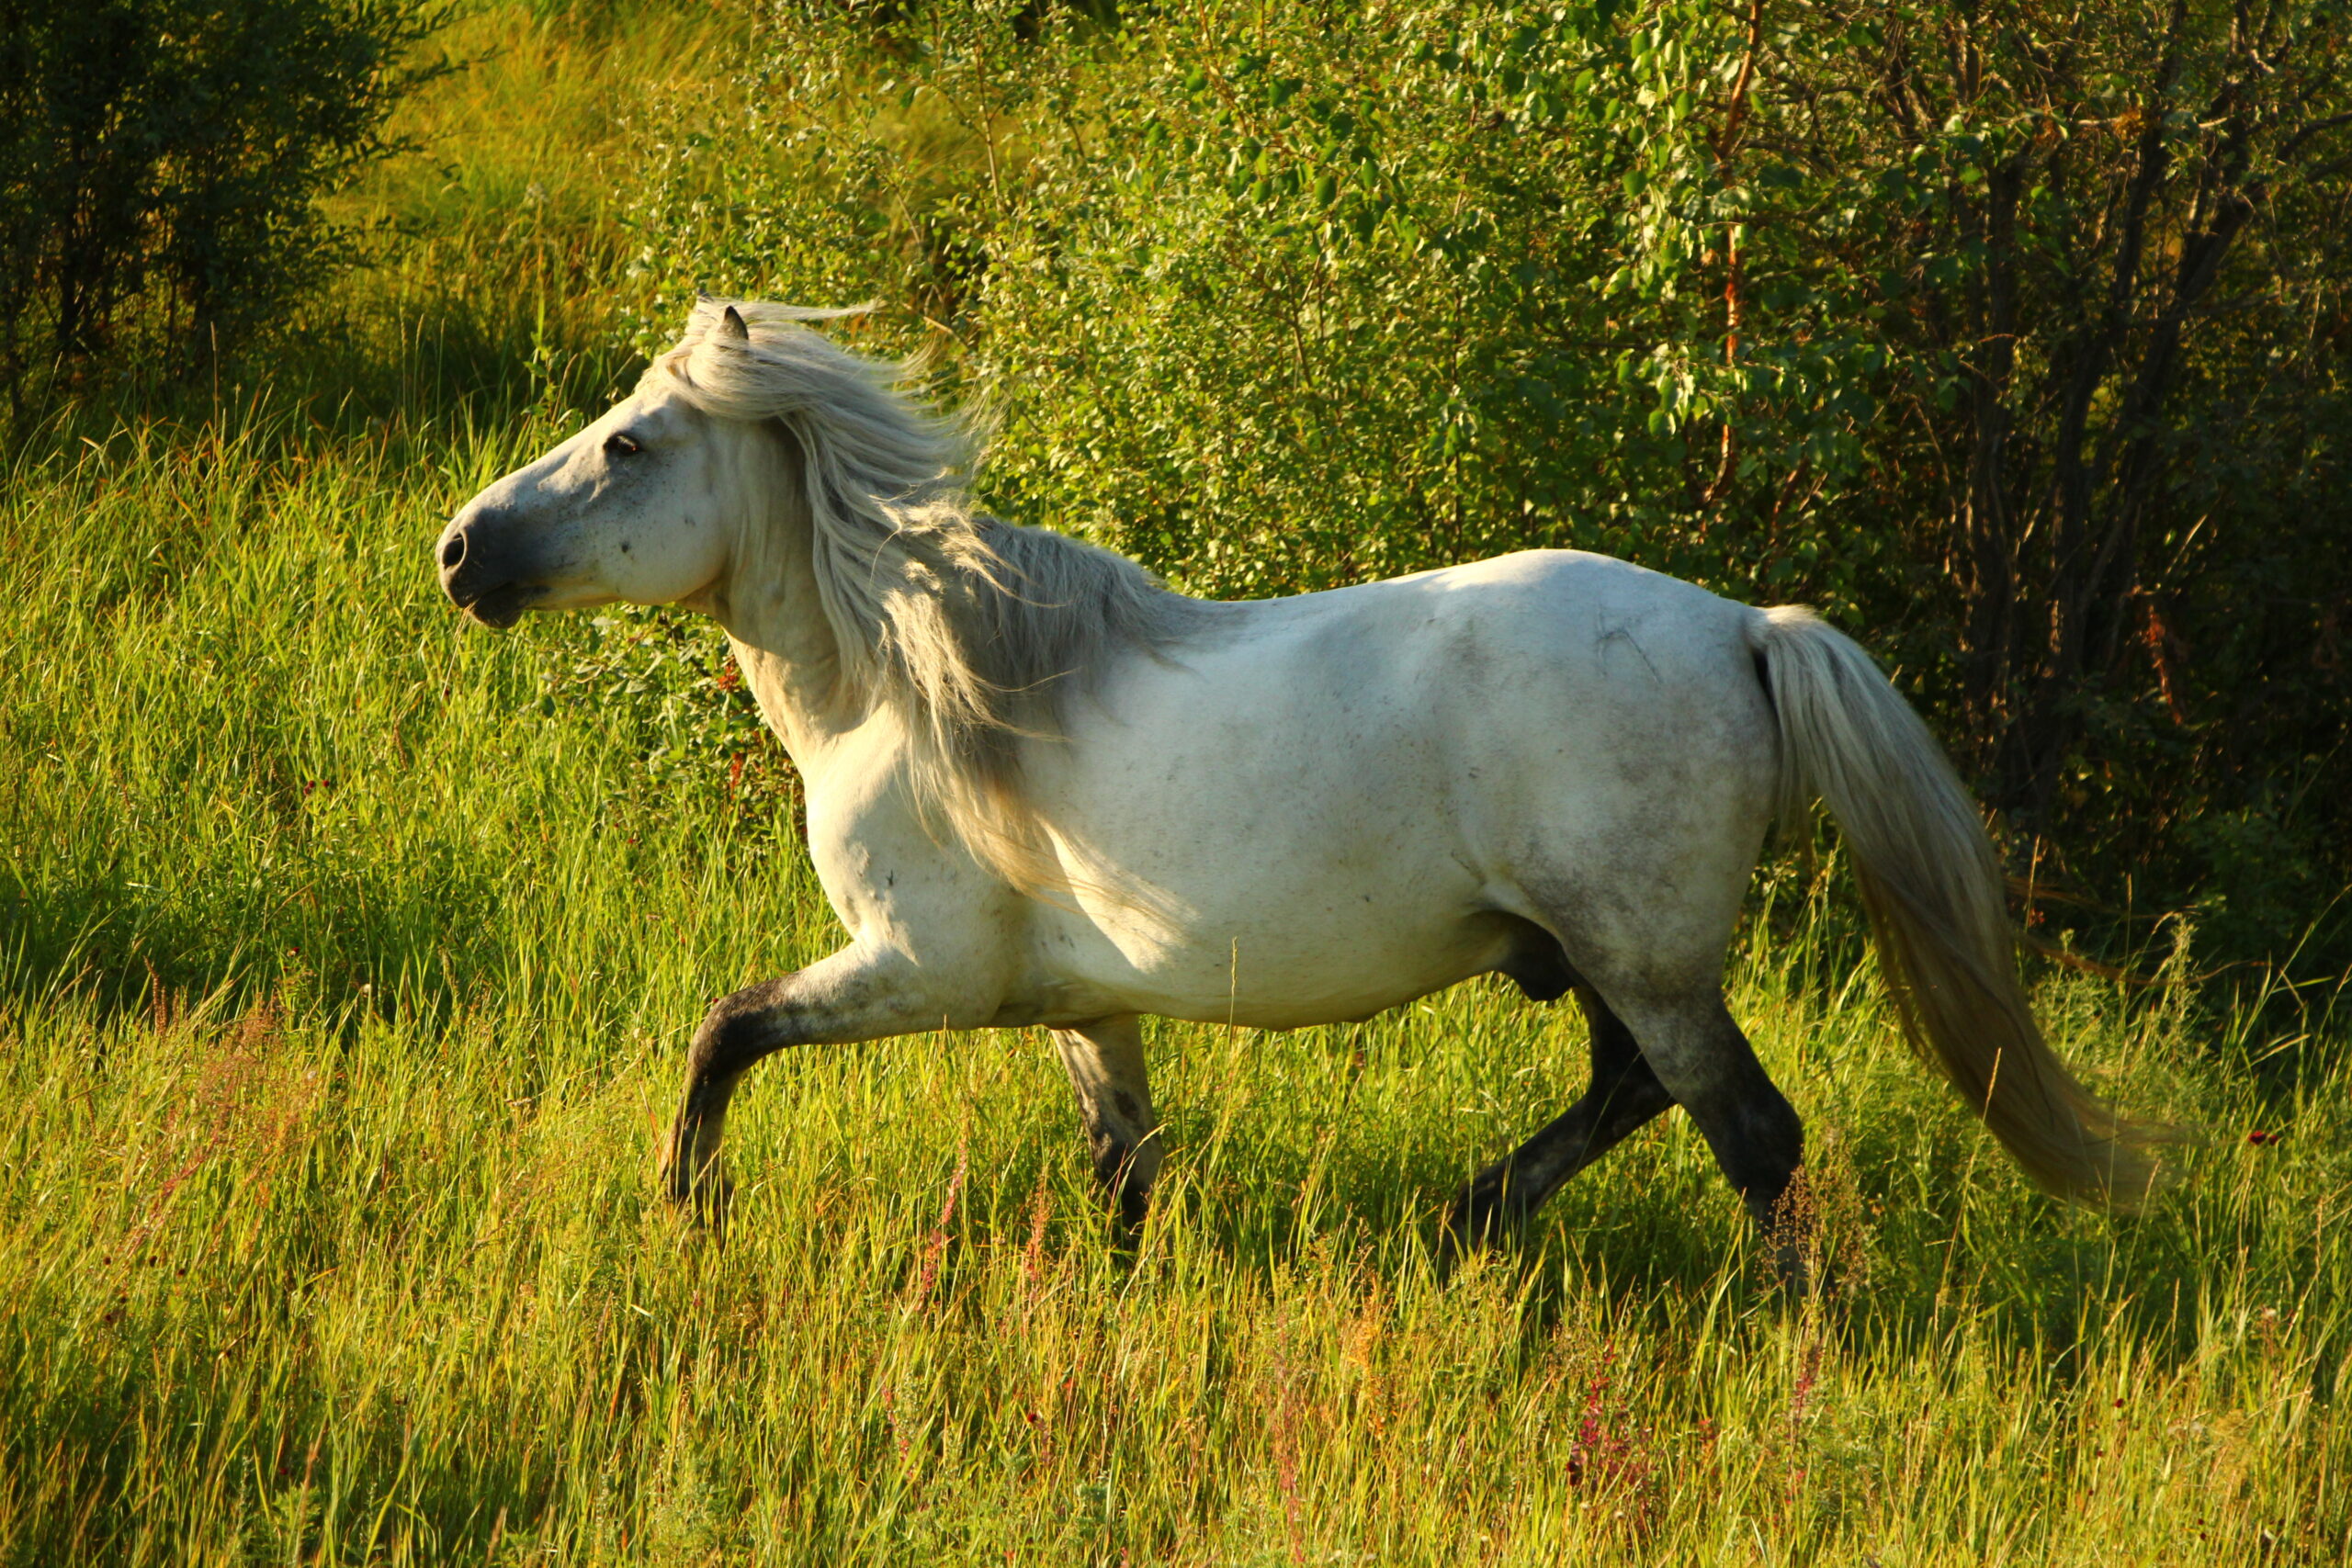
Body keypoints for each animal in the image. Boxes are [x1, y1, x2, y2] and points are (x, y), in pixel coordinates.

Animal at [433, 303, 2154, 1259]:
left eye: (631, 443)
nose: (459, 552)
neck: (913, 688)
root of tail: (1742, 625)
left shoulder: (919, 967)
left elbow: (724, 1031)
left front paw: (686, 1206)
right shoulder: (1083, 1006)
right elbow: (1126, 1175)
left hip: (1645, 955)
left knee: (1749, 1132)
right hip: (1607, 957)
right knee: (1634, 1092)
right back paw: (1470, 1218)